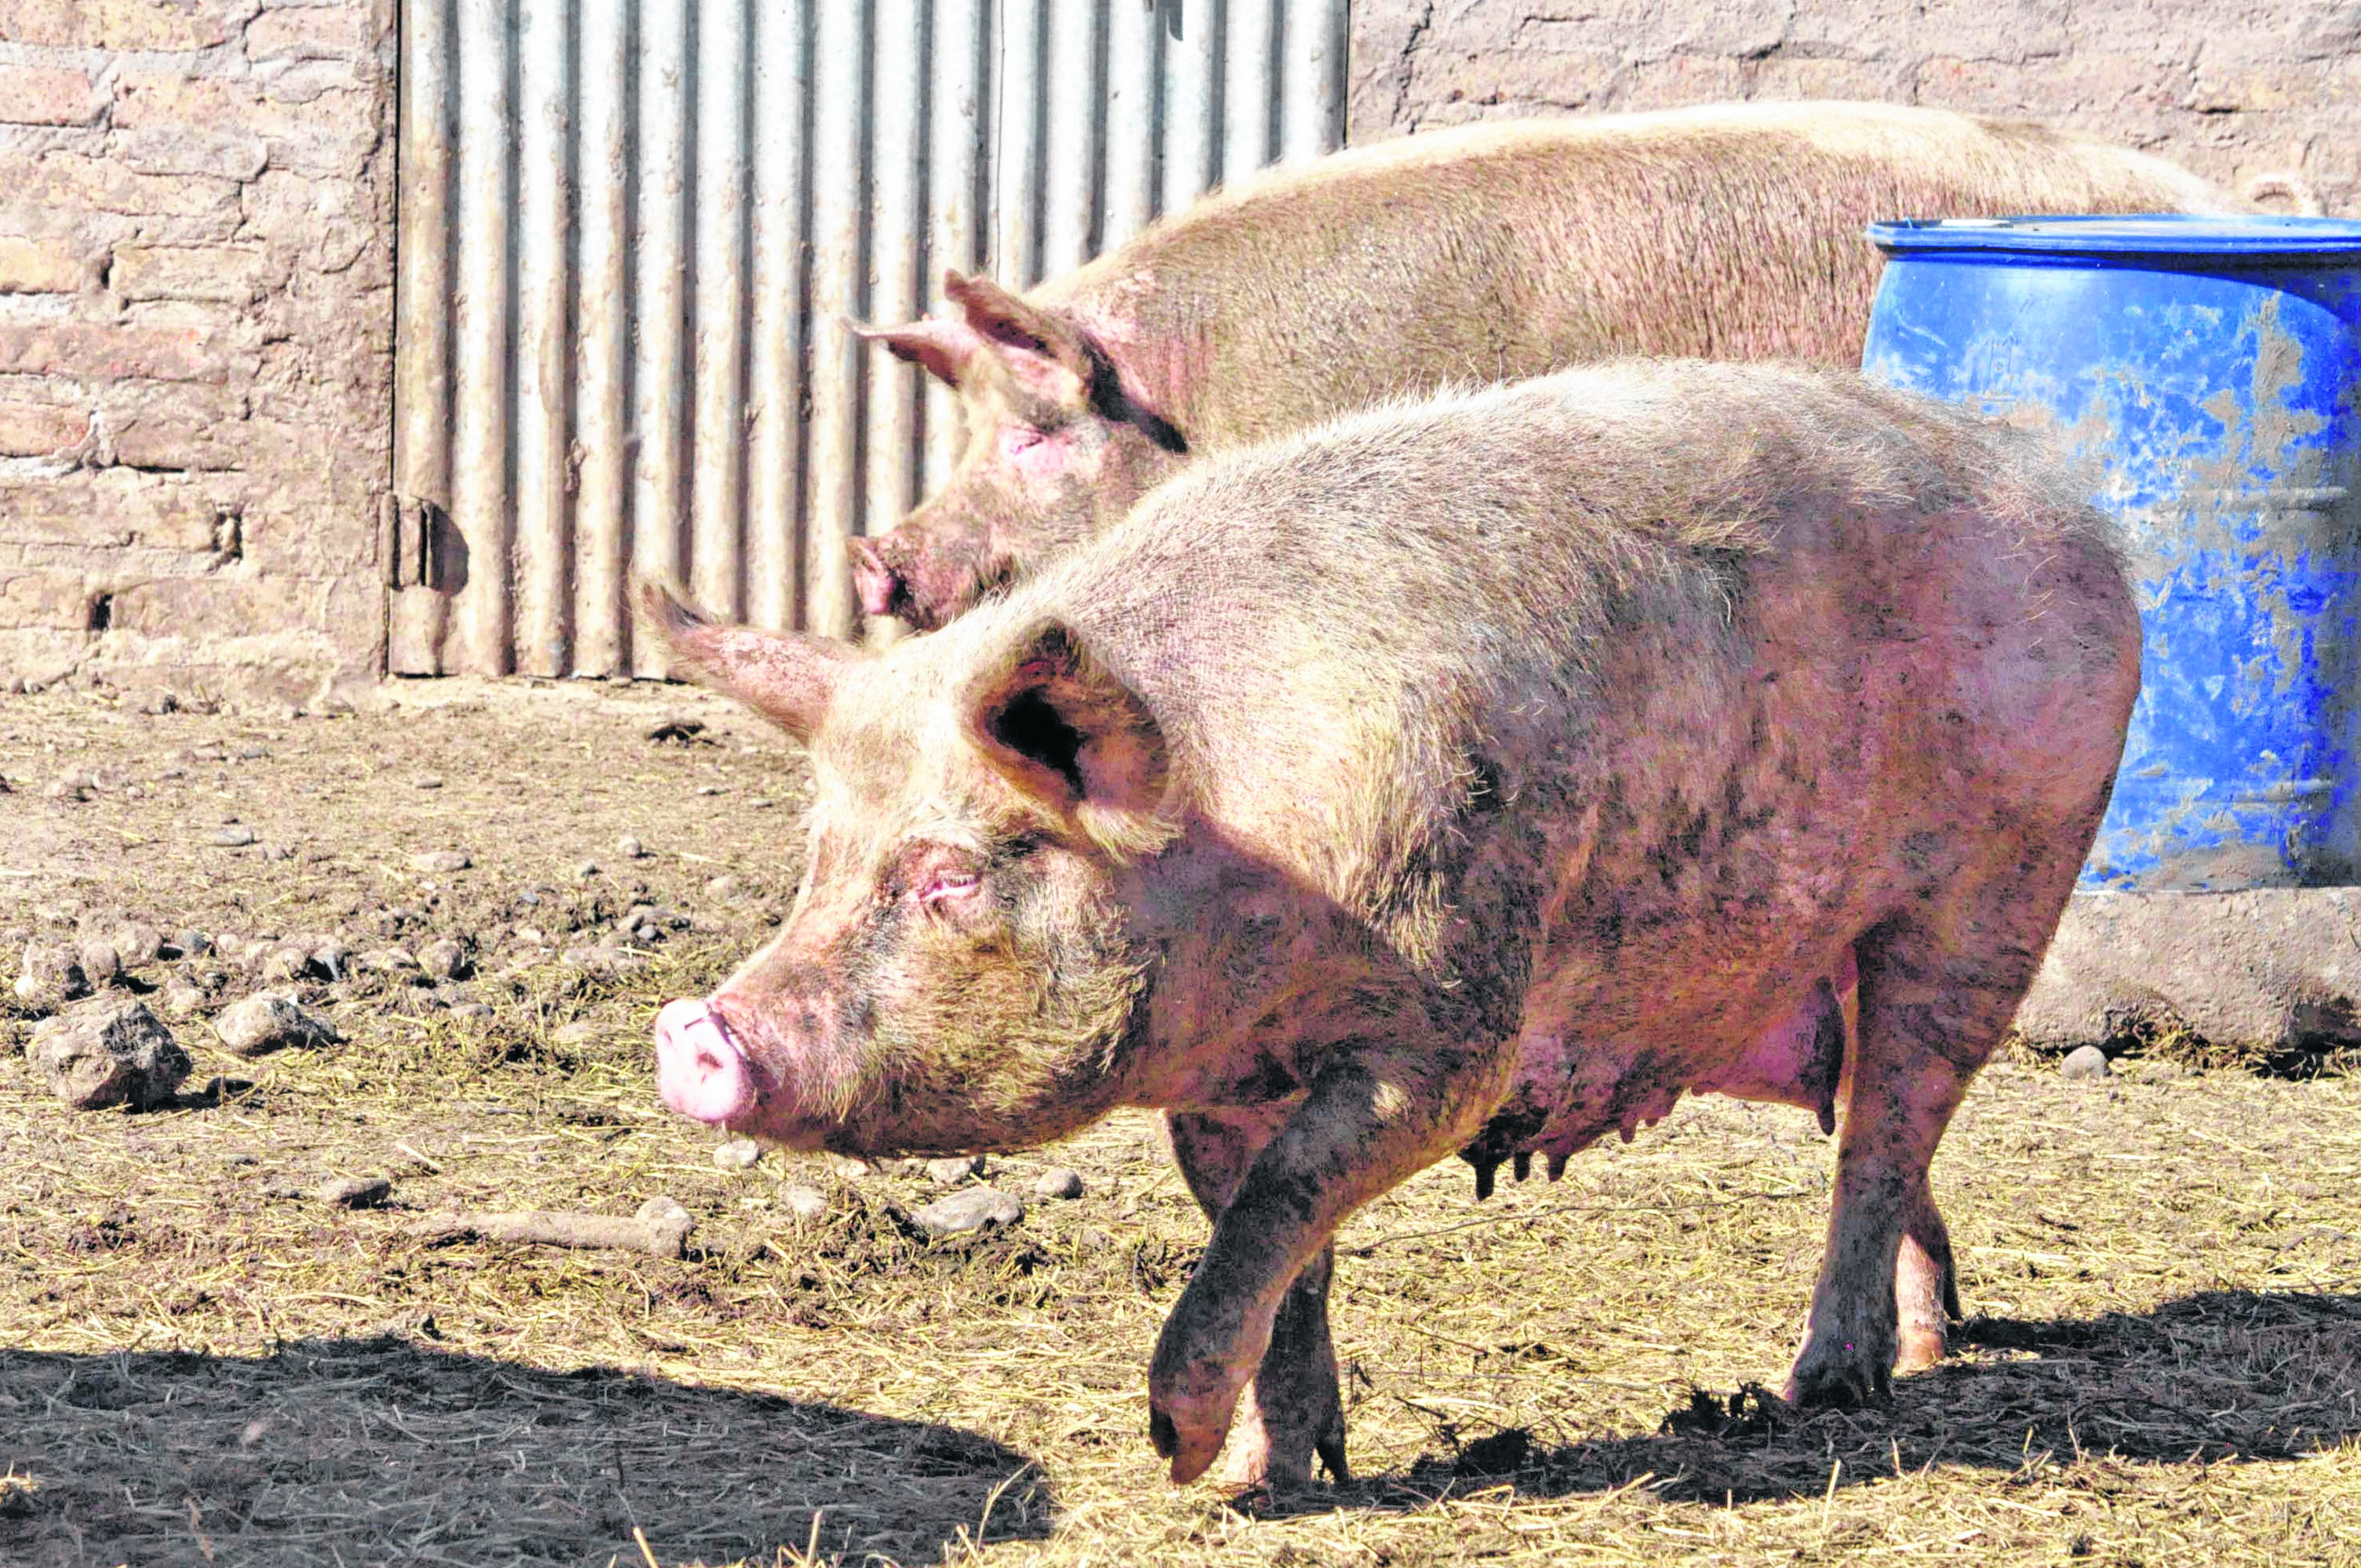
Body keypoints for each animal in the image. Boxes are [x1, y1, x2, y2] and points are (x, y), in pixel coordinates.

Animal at [642, 361, 2144, 1492]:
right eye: (818, 856)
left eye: (954, 874)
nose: (699, 1033)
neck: (1243, 850)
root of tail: (2075, 514)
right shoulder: (1222, 1081)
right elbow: (1267, 1232)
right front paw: (1270, 1475)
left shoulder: (1448, 1025)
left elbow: (1288, 1200)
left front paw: (1174, 1451)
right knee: (1887, 1141)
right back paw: (1935, 1346)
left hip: (1996, 884)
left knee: (1891, 1119)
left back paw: (1820, 1385)